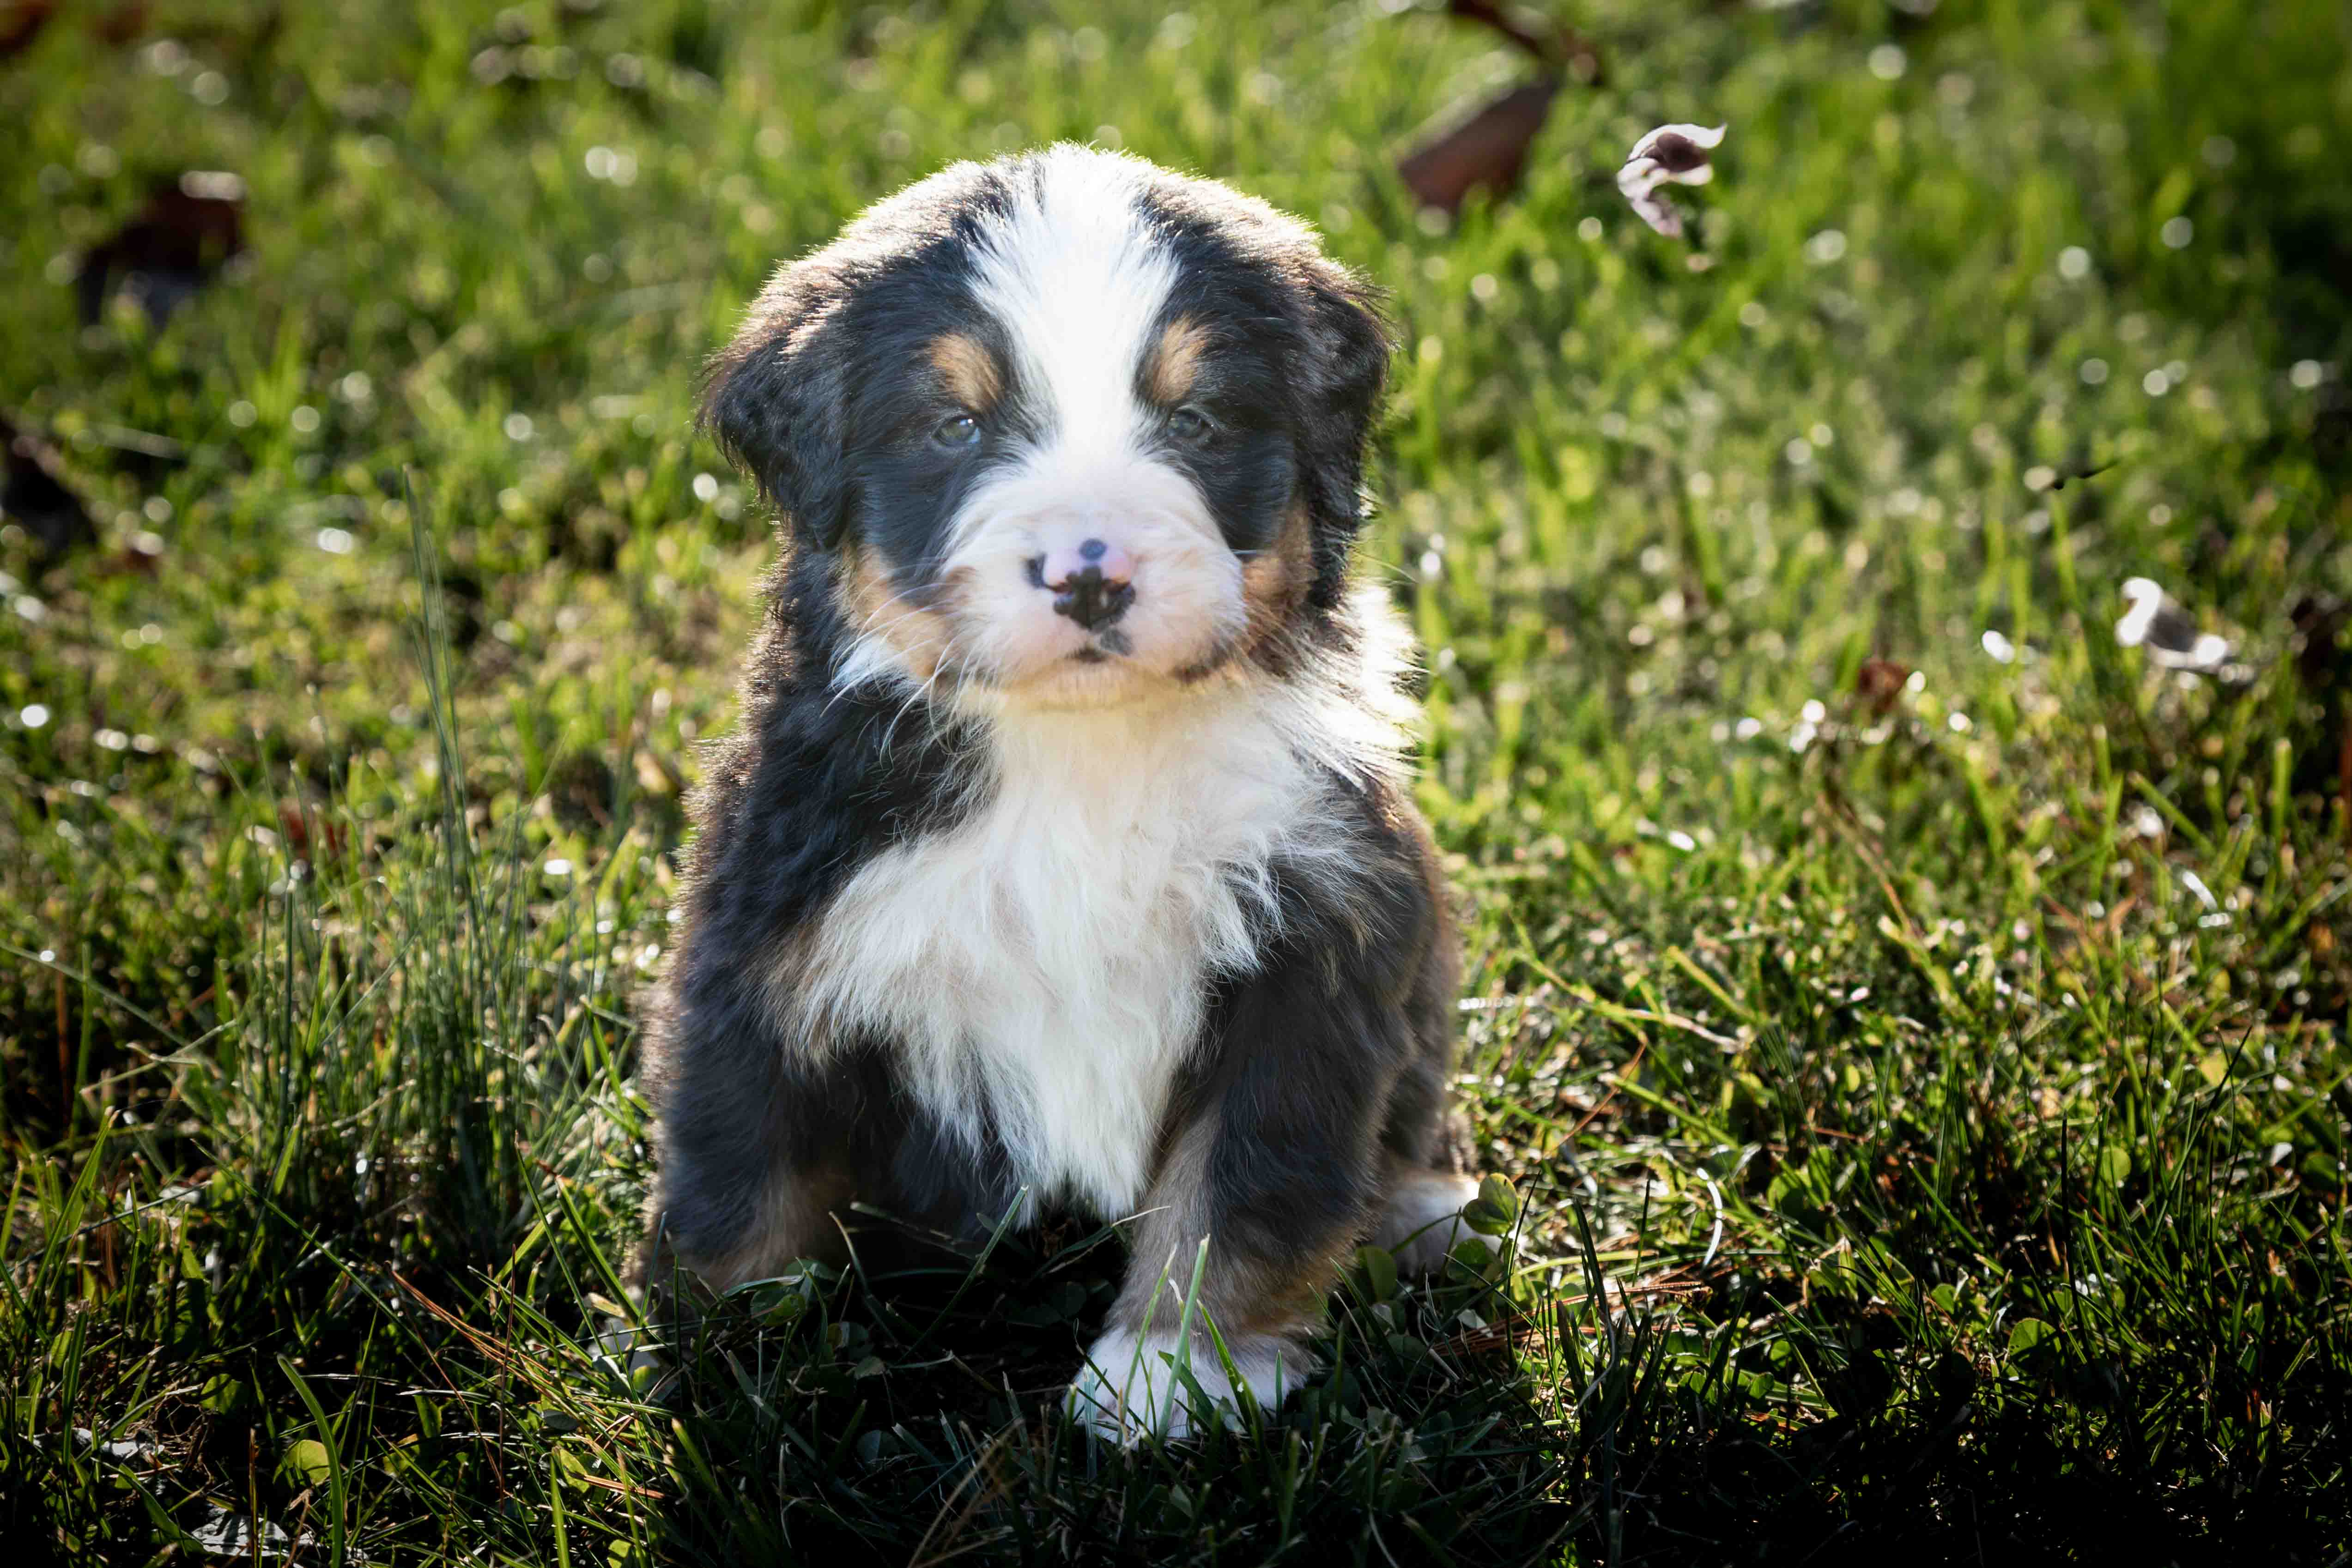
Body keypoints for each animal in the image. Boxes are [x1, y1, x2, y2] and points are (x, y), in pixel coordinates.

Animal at [640, 147, 1486, 1448]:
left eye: (1193, 421)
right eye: (954, 425)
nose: (1092, 577)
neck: (1080, 757)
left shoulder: (1313, 948)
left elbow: (1243, 1183)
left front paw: (1174, 1370)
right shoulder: (763, 952)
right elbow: (736, 1173)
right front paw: (724, 1364)